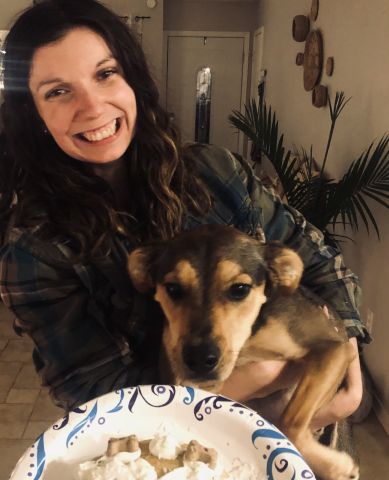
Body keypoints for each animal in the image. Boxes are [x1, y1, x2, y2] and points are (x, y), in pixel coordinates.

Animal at [127, 224, 358, 480]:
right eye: (173, 289)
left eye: (240, 289)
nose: (199, 360)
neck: (245, 344)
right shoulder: (180, 378)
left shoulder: (332, 347)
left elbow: (290, 423)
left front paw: (336, 467)